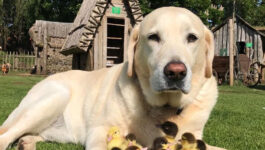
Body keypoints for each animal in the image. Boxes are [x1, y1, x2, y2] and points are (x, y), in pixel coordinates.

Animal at [0, 7, 223, 150]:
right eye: (153, 37)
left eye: (192, 38)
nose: (176, 72)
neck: (164, 108)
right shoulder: (99, 130)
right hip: (53, 98)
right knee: (5, 135)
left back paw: (26, 143)